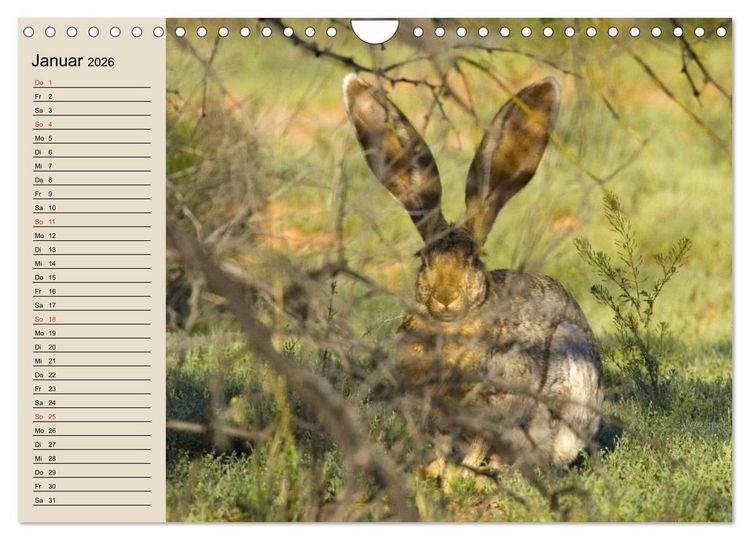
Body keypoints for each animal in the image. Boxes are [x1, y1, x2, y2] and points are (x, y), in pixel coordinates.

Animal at [343, 74, 603, 472]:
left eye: (474, 260)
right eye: (423, 259)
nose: (445, 299)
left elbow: (481, 440)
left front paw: (459, 476)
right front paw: (434, 471)